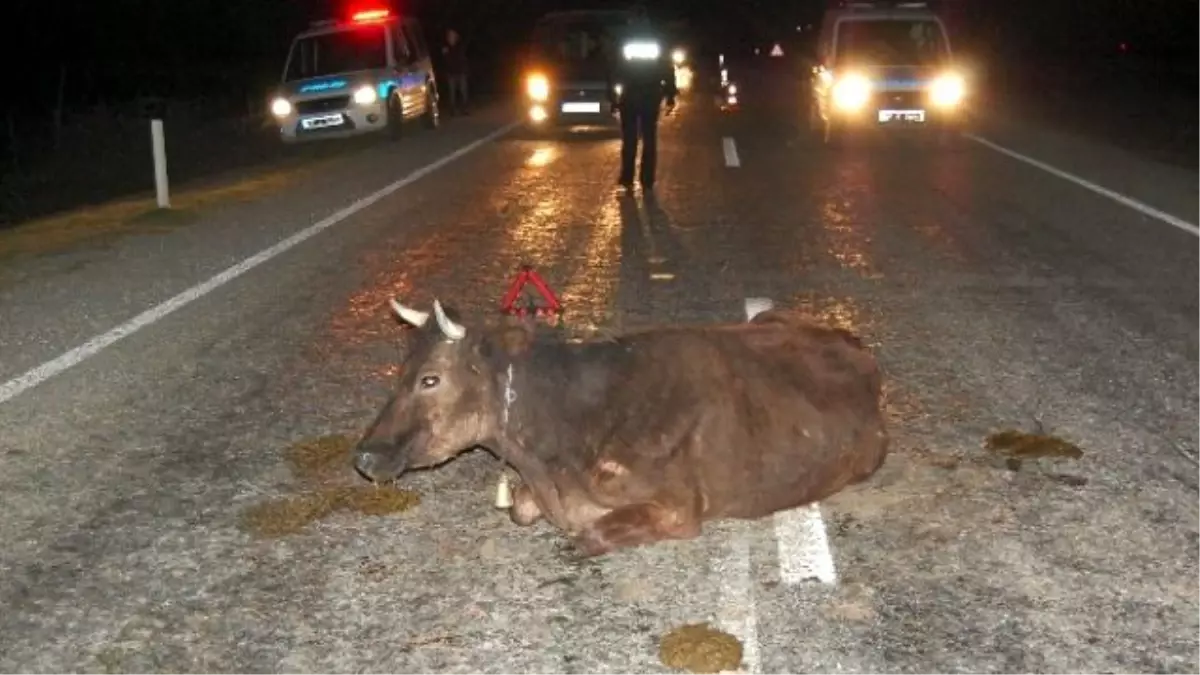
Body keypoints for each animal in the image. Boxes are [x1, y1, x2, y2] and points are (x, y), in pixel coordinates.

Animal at [350, 296, 888, 554]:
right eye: (401, 369)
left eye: (430, 378)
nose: (365, 455)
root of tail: (858, 348)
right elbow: (520, 508)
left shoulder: (679, 507)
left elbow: (584, 537)